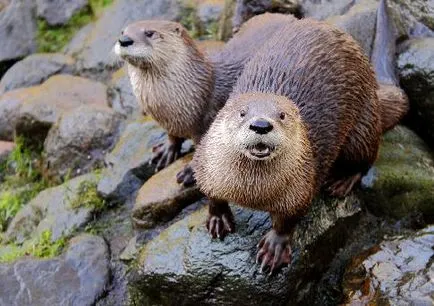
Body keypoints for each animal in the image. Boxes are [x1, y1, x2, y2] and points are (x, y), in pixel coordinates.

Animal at [115, 13, 298, 186]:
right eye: (123, 31)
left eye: (150, 33)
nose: (124, 40)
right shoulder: (170, 122)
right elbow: (172, 136)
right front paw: (166, 151)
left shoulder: (208, 119)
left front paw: (190, 171)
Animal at [192, 0, 406, 272]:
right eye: (242, 113)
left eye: (282, 115)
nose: (261, 124)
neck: (251, 193)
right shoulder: (206, 165)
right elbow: (210, 194)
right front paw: (218, 217)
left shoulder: (301, 185)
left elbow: (288, 220)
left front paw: (274, 246)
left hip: (363, 126)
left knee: (366, 159)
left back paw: (342, 180)